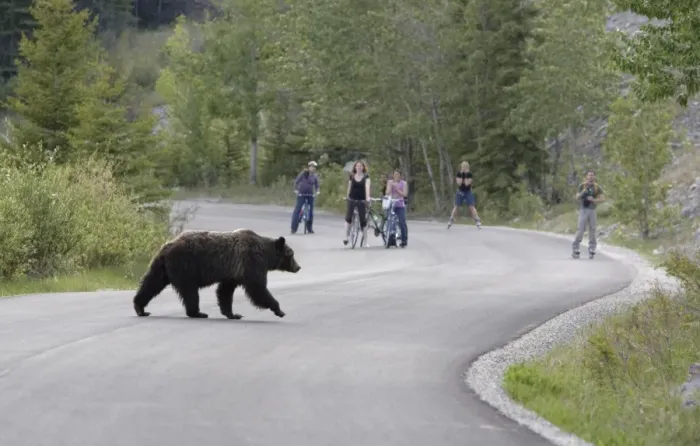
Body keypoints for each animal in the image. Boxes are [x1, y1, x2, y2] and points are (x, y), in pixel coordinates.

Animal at [132, 228, 301, 319]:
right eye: (291, 254)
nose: (298, 267)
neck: (266, 254)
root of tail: (167, 247)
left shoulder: (233, 273)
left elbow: (225, 291)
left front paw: (233, 314)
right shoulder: (250, 263)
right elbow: (257, 288)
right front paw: (279, 310)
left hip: (161, 267)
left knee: (151, 283)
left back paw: (140, 308)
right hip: (186, 265)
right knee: (190, 291)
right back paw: (198, 312)